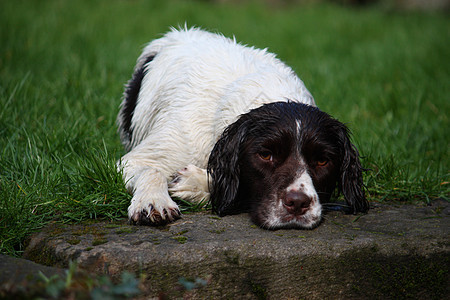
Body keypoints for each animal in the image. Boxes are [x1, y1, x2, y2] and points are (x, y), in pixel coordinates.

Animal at [117, 27, 370, 230]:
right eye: (265, 155)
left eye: (322, 161)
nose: (298, 203)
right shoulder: (140, 158)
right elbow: (152, 170)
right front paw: (152, 202)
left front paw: (195, 182)